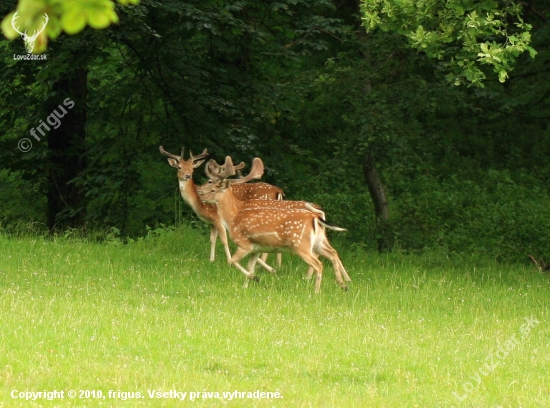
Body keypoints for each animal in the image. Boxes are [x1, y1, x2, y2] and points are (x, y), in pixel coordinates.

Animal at [201, 155, 352, 292]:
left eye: (212, 187)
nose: (201, 194)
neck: (233, 217)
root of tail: (316, 216)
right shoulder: (256, 248)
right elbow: (250, 266)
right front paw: (246, 285)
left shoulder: (245, 244)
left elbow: (232, 261)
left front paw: (257, 277)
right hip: (318, 241)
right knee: (332, 253)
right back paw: (343, 285)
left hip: (300, 244)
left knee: (319, 264)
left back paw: (316, 291)